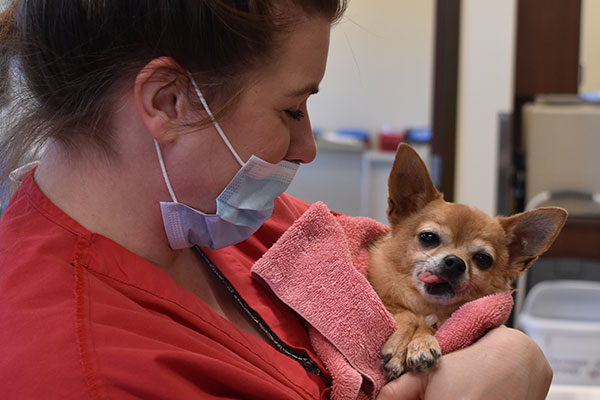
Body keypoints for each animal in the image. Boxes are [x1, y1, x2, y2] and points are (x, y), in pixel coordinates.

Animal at [368, 144, 568, 378]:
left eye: (483, 259)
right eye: (428, 237)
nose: (455, 262)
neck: (428, 308)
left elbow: (426, 325)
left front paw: (422, 342)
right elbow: (408, 315)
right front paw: (403, 343)